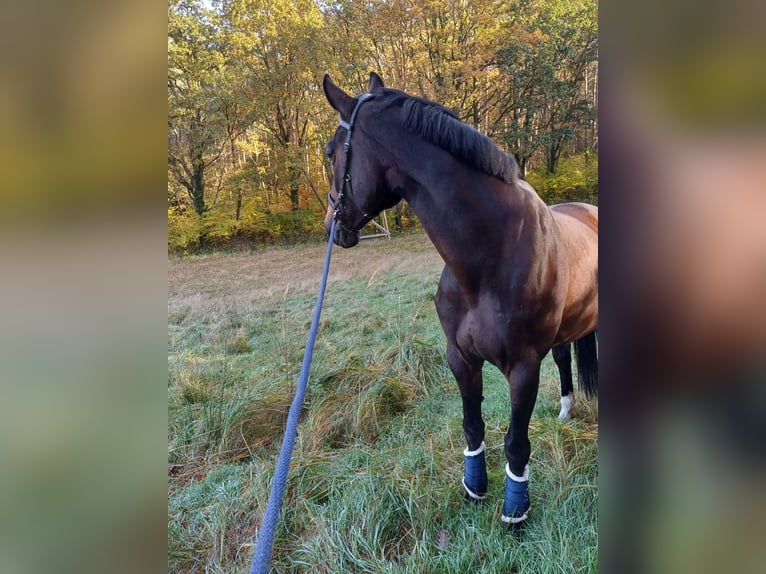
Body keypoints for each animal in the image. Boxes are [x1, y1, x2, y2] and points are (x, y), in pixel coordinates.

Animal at [321, 71, 598, 528]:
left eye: (330, 152)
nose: (332, 226)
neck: (490, 256)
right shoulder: (460, 357)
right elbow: (473, 426)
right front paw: (474, 490)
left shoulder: (523, 368)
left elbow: (516, 442)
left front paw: (515, 513)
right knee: (564, 357)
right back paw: (566, 409)